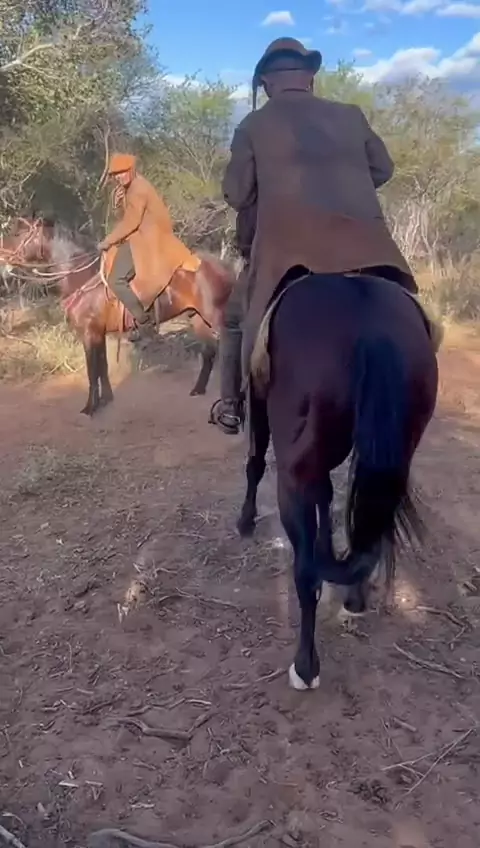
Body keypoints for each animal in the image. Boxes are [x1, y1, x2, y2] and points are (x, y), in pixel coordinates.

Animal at [0, 218, 235, 415]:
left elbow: (92, 370)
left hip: (216, 319)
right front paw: (106, 399)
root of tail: (224, 266)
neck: (83, 277)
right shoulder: (99, 333)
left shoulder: (89, 333)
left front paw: (90, 407)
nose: (3, 259)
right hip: (199, 319)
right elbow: (102, 367)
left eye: (18, 233)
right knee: (209, 352)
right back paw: (198, 390)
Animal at [237, 271, 438, 691]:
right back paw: (355, 597)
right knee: (368, 526)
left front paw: (245, 521)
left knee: (306, 571)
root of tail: (374, 326)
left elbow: (255, 463)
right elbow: (327, 497)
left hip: (292, 474)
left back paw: (305, 665)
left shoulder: (258, 402)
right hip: (389, 450)